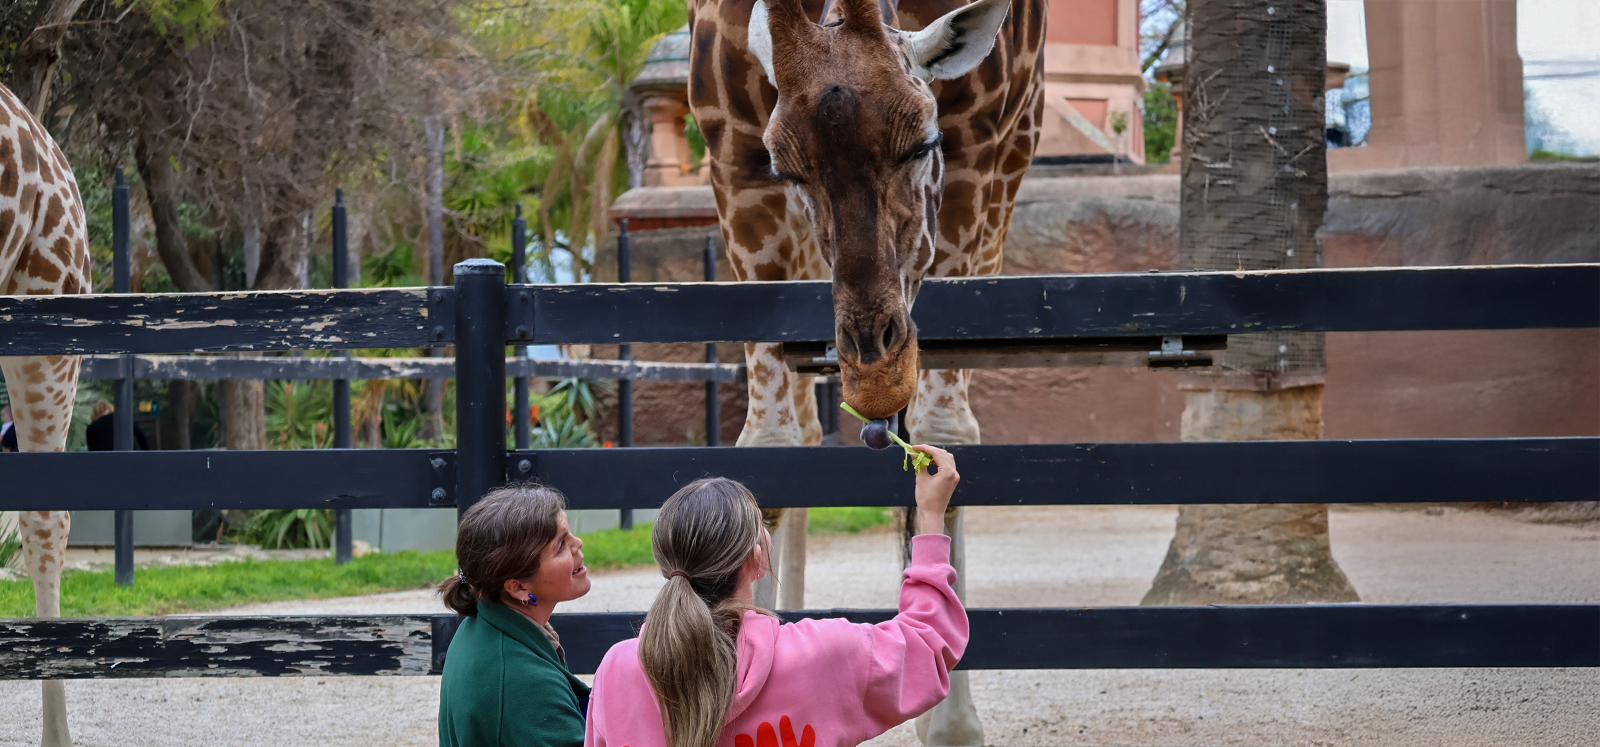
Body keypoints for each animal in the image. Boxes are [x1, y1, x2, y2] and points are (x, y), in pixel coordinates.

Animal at [687, 0, 1044, 743]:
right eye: (788, 167)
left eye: (923, 142)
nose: (875, 371)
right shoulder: (736, 161)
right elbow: (771, 446)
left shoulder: (977, 155)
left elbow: (943, 435)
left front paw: (951, 724)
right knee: (801, 424)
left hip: (1014, 157)